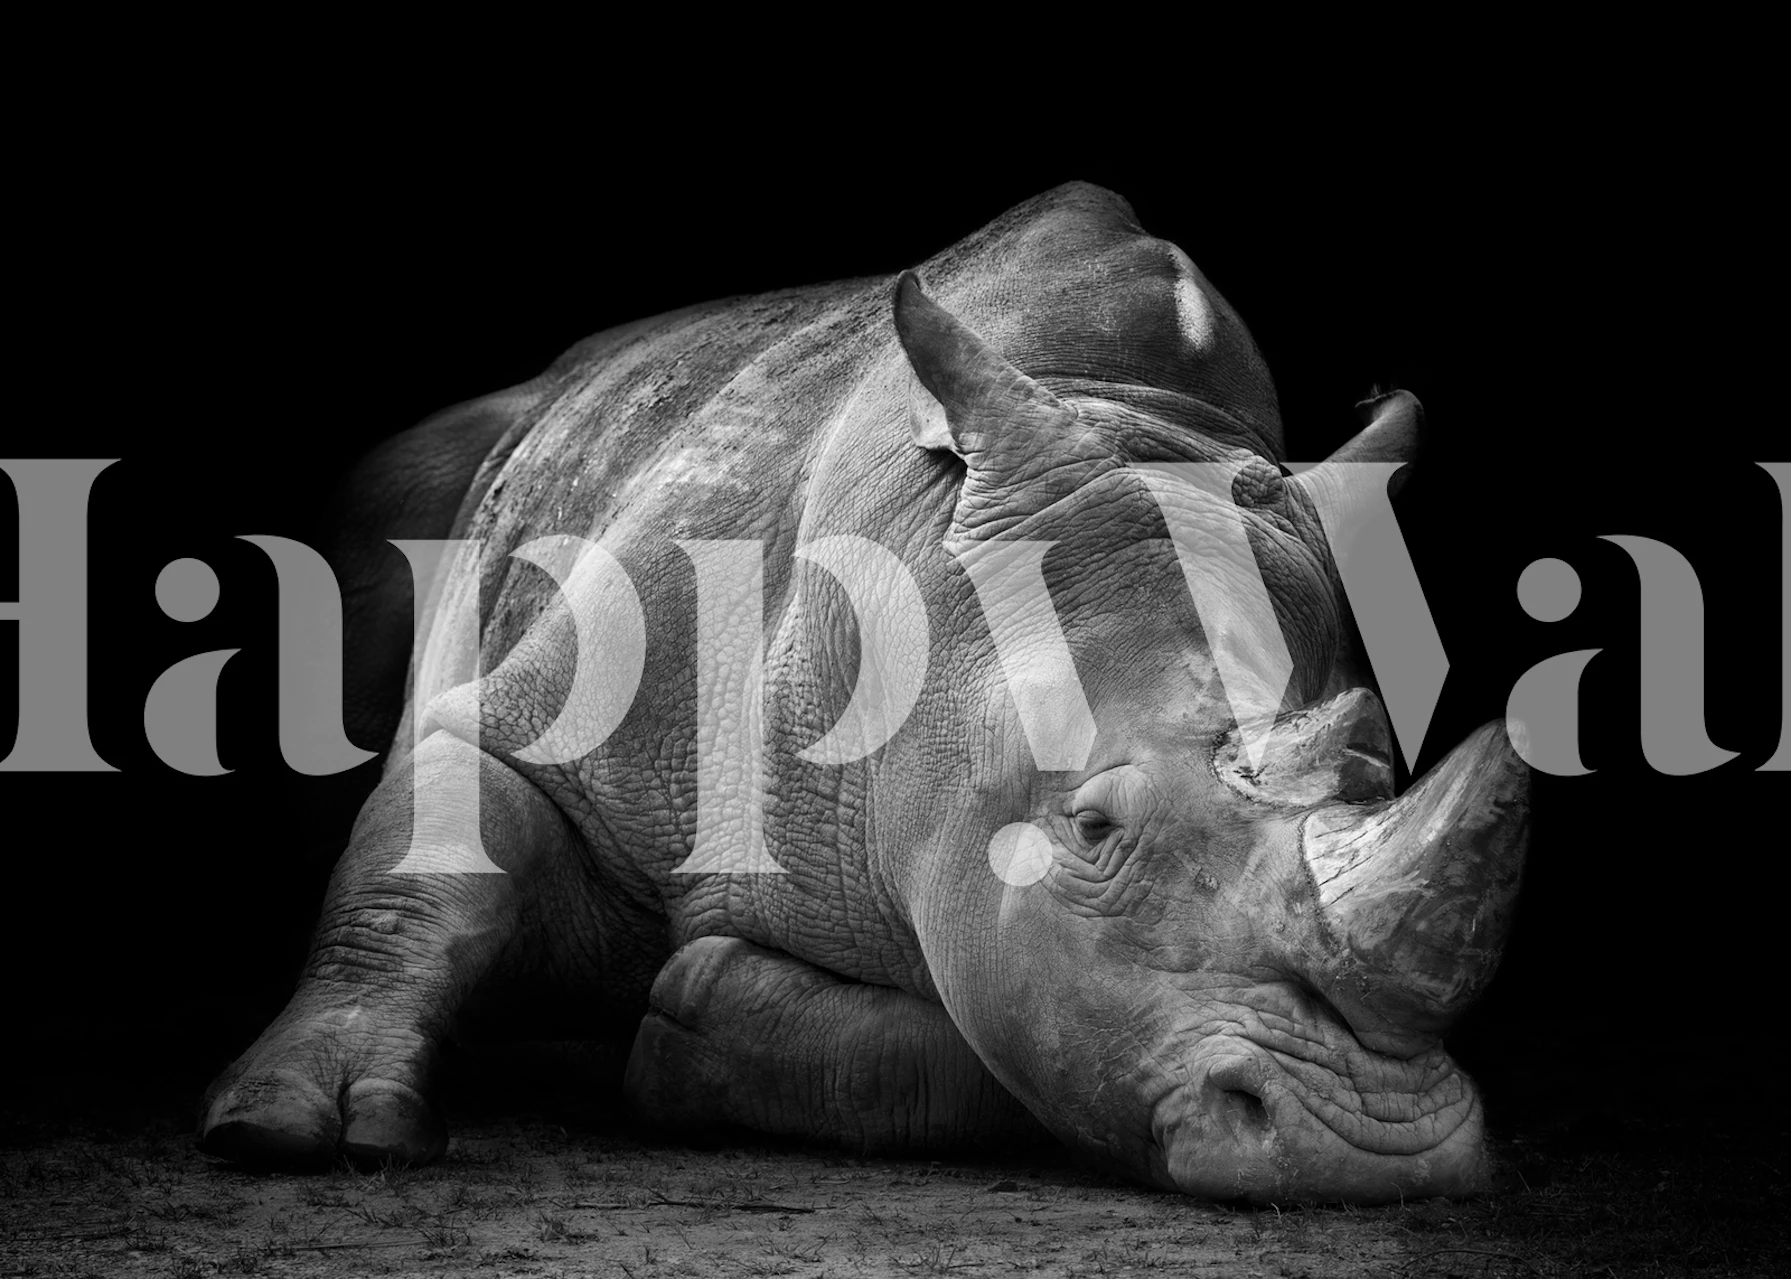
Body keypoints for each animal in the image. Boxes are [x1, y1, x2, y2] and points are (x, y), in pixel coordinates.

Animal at [198, 182, 1528, 1203]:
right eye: (1094, 828)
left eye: (1375, 776)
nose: (1372, 1145)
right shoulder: (541, 713)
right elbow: (425, 865)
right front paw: (293, 1124)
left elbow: (1016, 1034)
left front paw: (692, 1017)